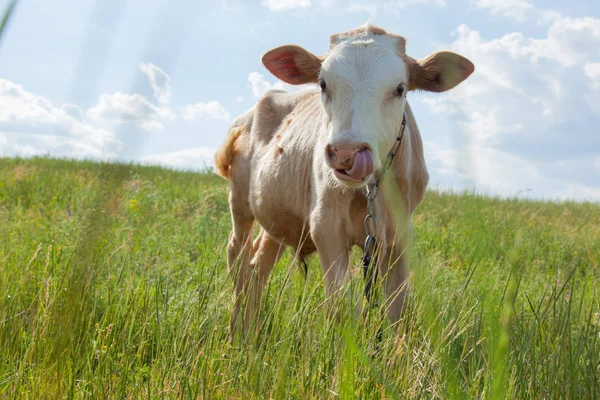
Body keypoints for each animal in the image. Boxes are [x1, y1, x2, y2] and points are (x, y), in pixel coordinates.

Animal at [214, 24, 474, 338]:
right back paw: (236, 331)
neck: (371, 192)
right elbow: (342, 306)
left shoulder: (400, 233)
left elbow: (398, 309)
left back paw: (250, 331)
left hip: (275, 216)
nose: (346, 152)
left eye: (400, 88)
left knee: (257, 265)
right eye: (323, 84)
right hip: (239, 200)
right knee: (237, 254)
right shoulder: (326, 225)